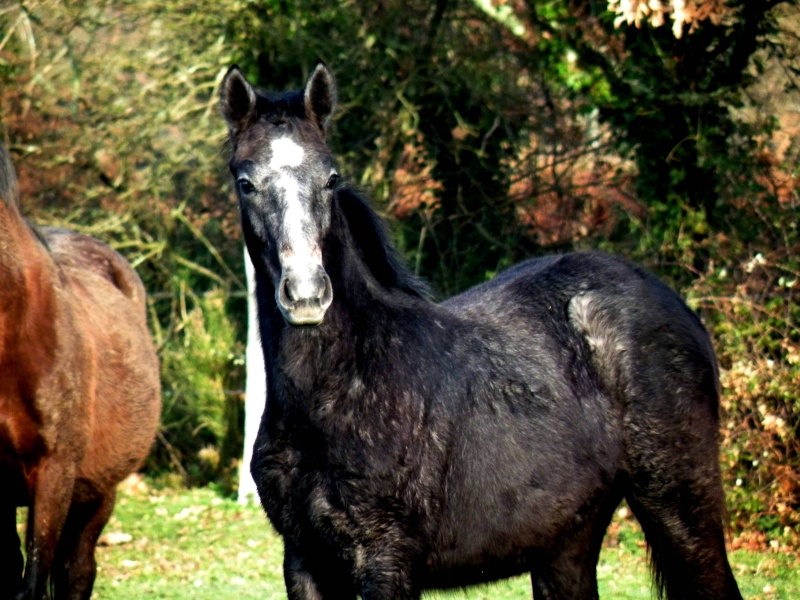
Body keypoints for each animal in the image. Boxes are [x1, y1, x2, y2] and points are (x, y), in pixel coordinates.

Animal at [220, 63, 744, 596]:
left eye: (331, 178)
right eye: (246, 183)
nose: (306, 295)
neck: (344, 385)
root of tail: (675, 303)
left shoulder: (386, 559)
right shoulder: (303, 558)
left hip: (680, 507)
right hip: (566, 543)